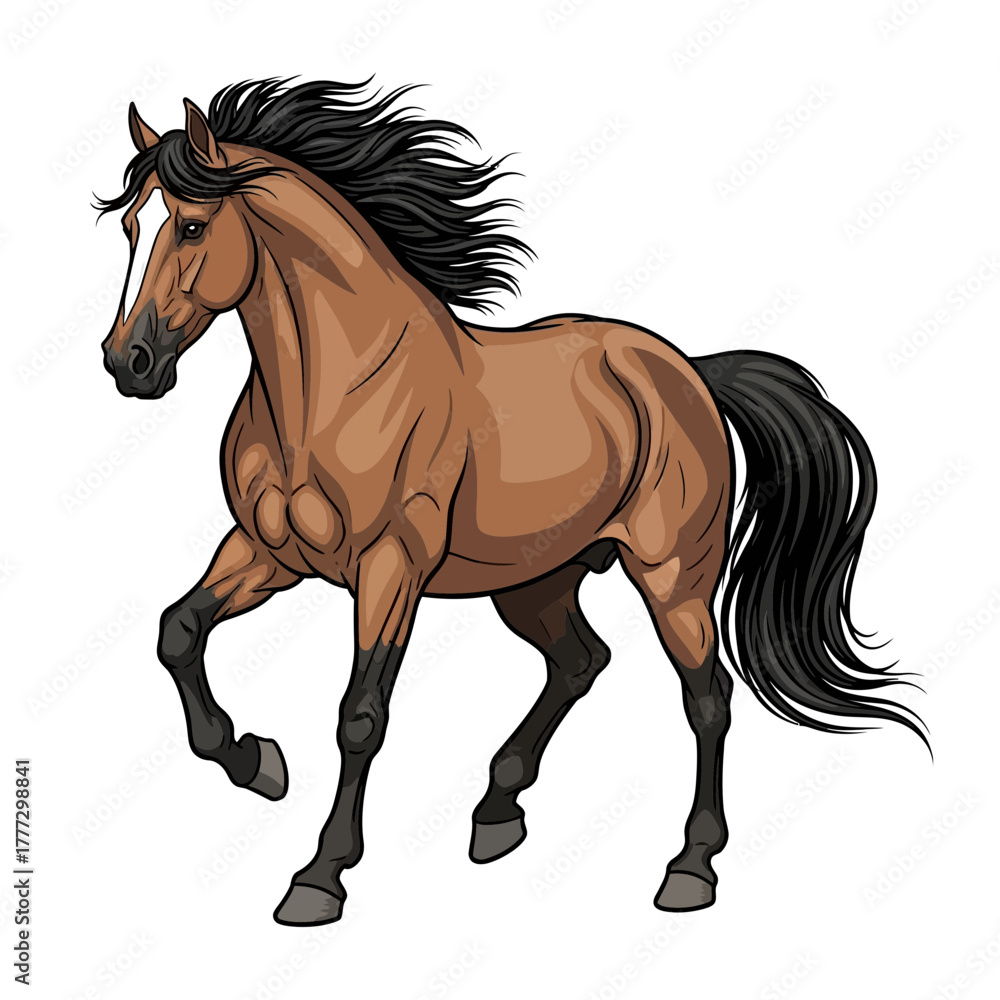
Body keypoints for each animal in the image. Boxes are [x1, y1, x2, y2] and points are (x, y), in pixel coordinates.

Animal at [97, 79, 925, 926]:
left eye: (191, 225)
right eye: (129, 225)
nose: (129, 362)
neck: (333, 393)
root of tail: (689, 370)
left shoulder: (390, 569)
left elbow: (360, 715)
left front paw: (319, 878)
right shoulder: (268, 552)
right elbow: (178, 632)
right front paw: (257, 763)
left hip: (673, 576)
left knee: (707, 698)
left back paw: (689, 869)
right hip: (537, 579)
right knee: (581, 661)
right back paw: (497, 813)